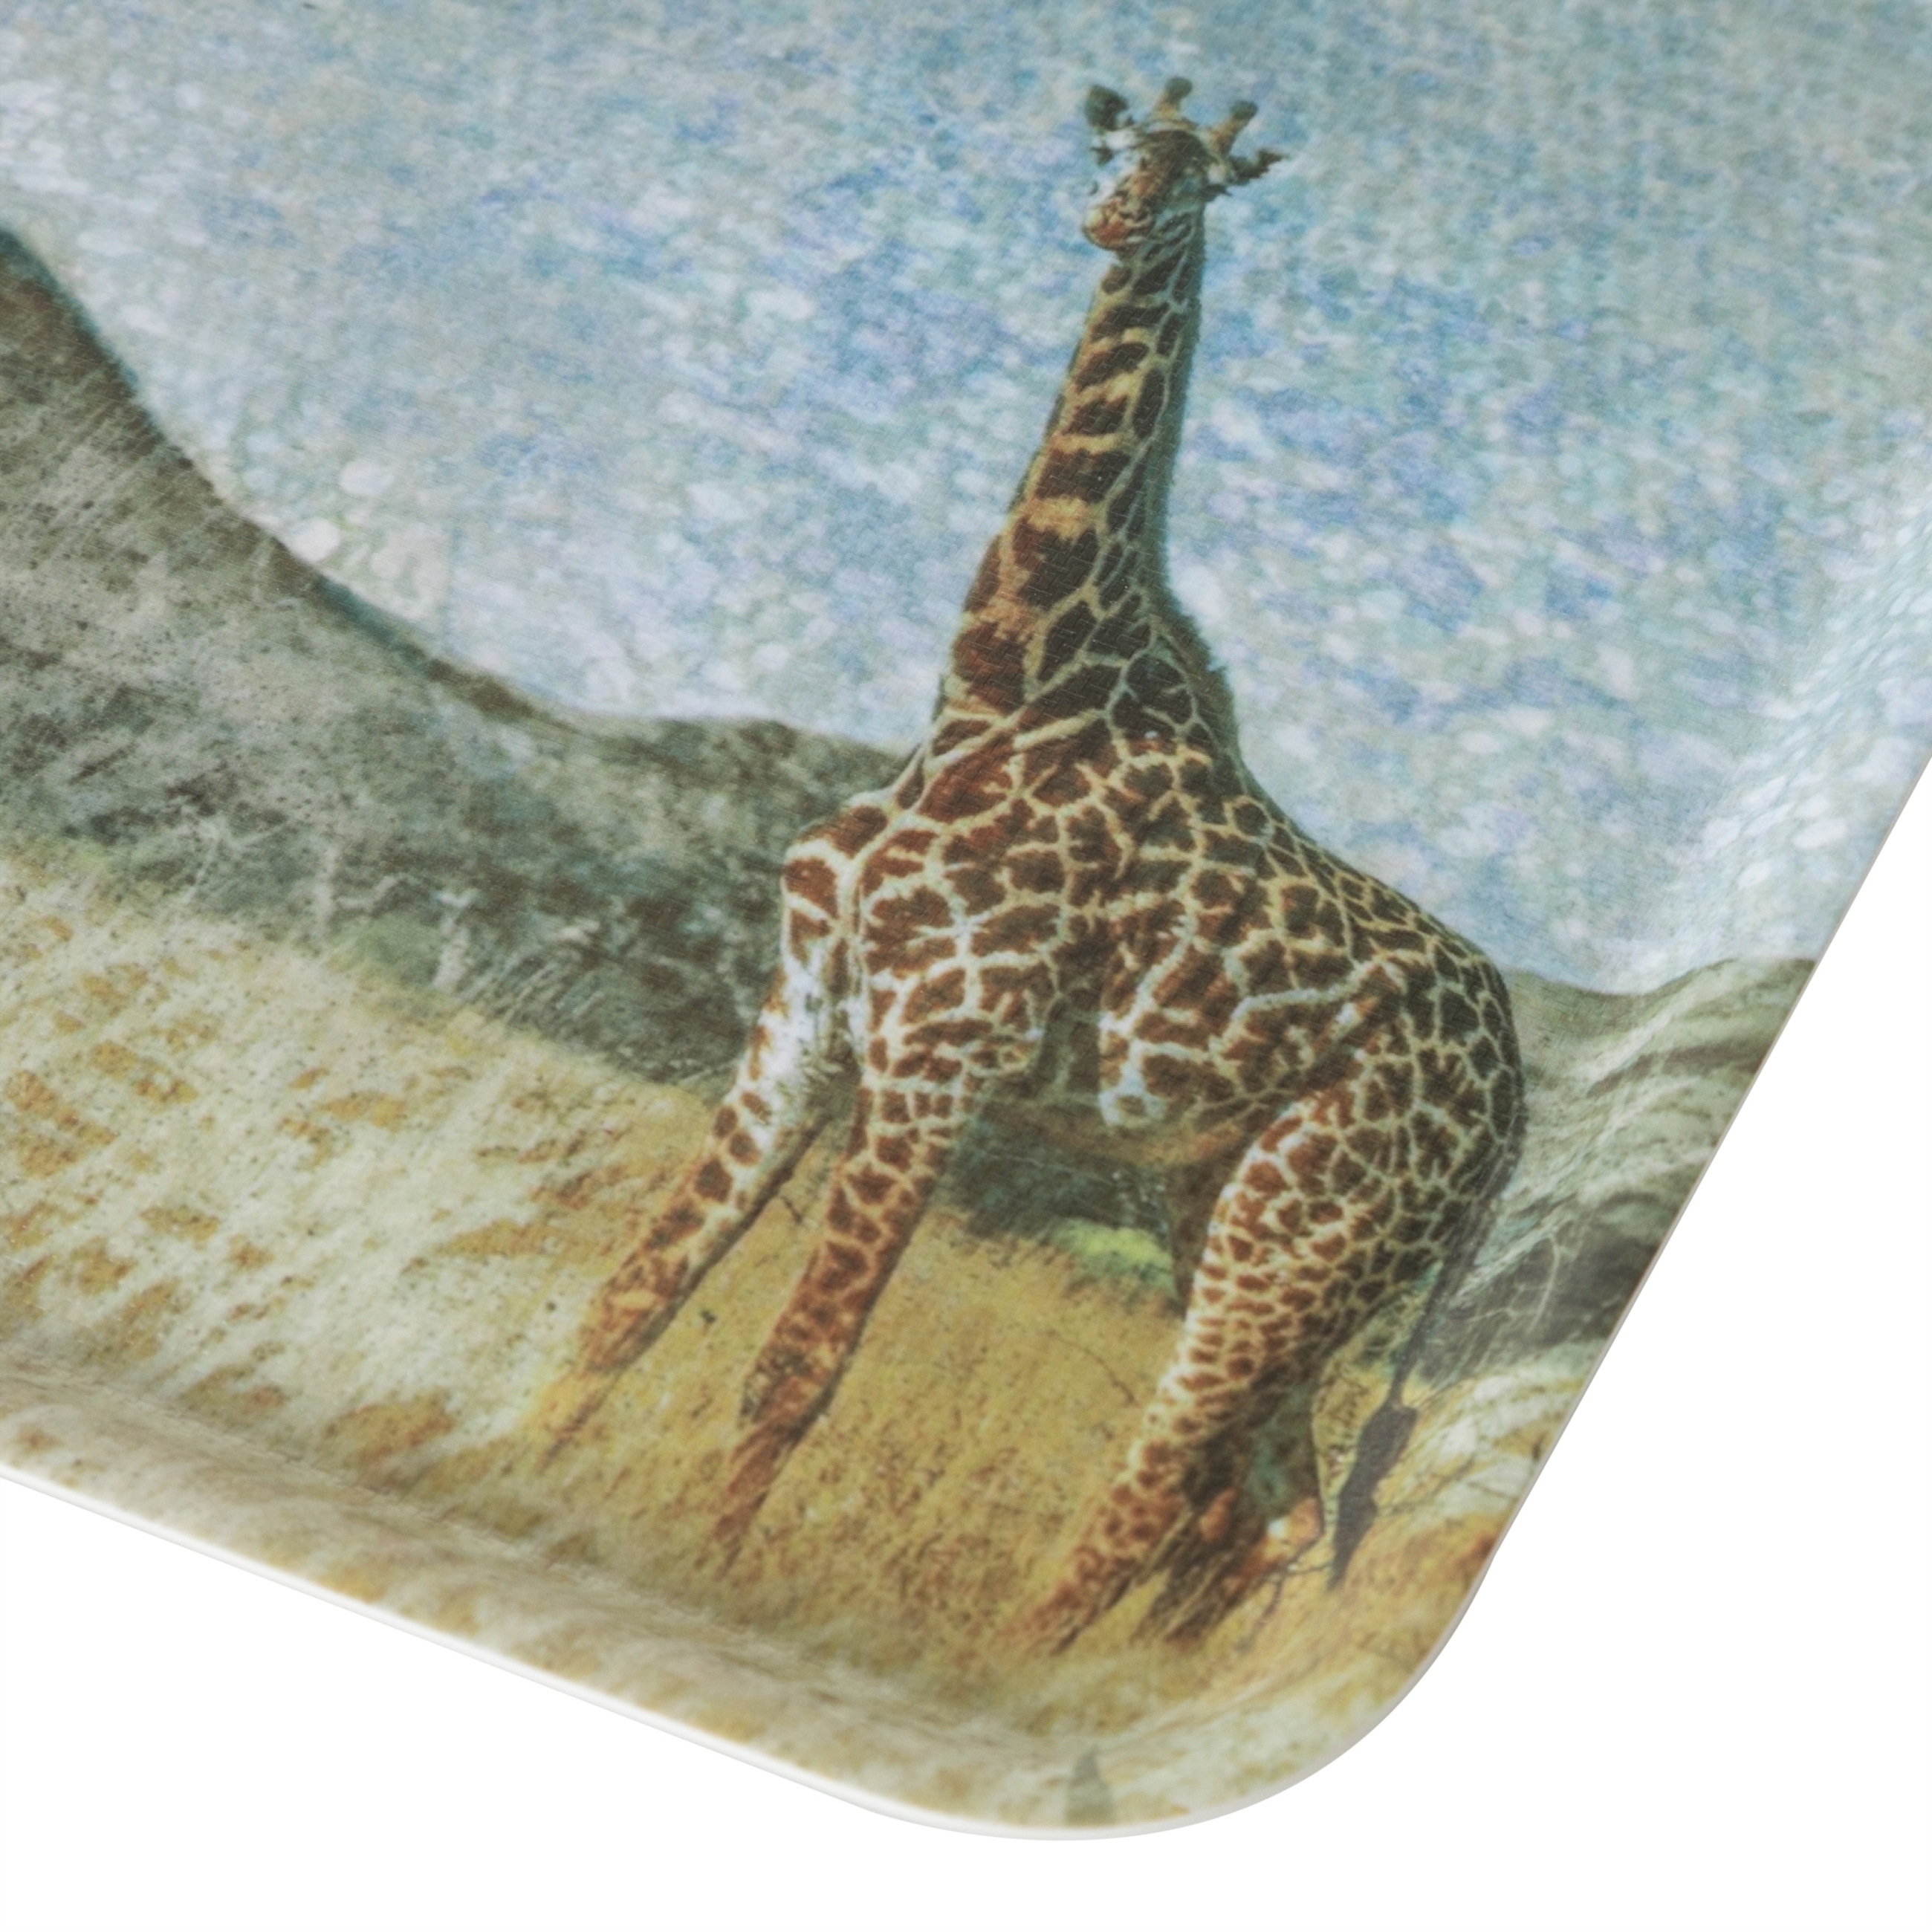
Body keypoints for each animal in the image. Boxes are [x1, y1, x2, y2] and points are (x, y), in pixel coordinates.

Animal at [537, 78, 1524, 1649]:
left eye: (1200, 181)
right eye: (1121, 146)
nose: (1111, 217)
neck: (1006, 682)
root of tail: (1517, 1122)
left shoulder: (941, 1054)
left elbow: (796, 1367)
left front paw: (685, 1573)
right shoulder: (807, 1010)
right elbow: (637, 1291)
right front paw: (489, 1465)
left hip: (1305, 1231)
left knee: (1158, 1484)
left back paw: (992, 1673)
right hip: (1240, 1212)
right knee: (1270, 1506)